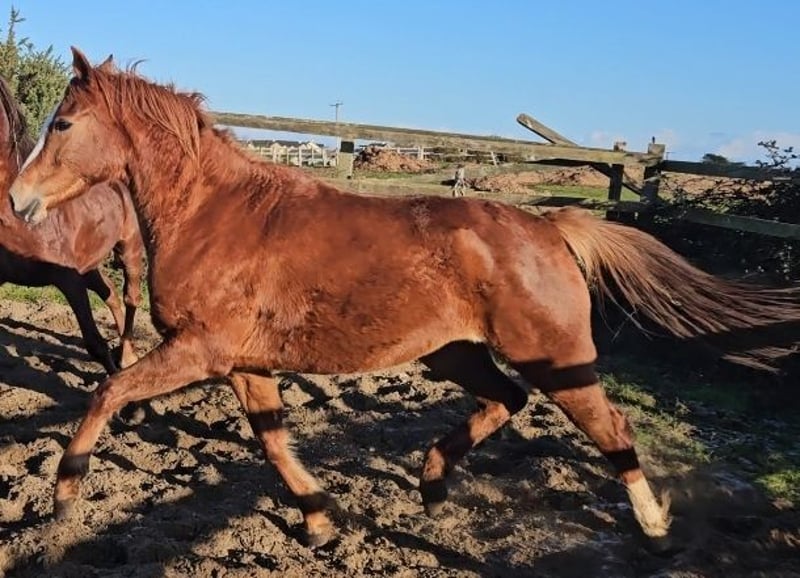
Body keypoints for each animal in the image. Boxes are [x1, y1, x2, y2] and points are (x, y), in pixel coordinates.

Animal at [0, 73, 143, 373]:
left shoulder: (69, 279)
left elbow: (95, 343)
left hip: (129, 249)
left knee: (130, 297)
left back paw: (128, 357)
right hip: (89, 264)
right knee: (110, 293)